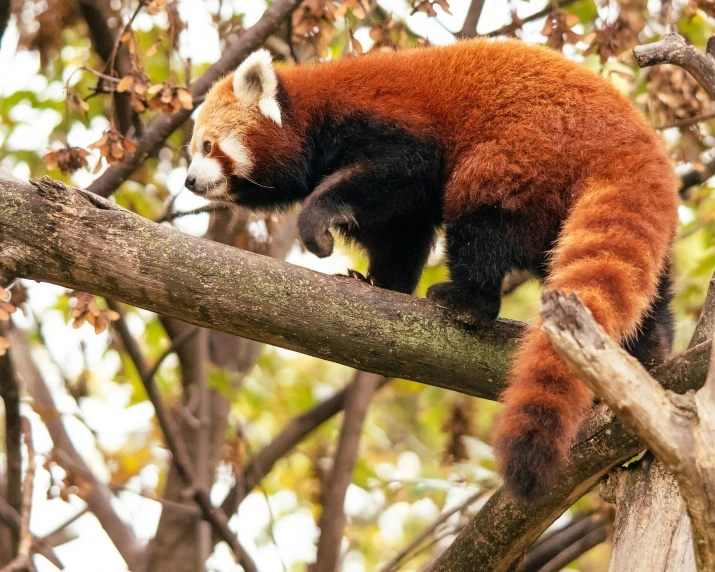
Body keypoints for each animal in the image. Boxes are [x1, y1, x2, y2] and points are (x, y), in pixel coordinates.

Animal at [185, 40, 676, 502]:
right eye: (192, 150)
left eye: (207, 146)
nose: (188, 181)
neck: (315, 114)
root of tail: (630, 138)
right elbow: (401, 230)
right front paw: (380, 282)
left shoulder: (390, 122)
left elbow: (401, 169)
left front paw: (318, 223)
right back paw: (650, 347)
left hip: (525, 152)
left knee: (481, 212)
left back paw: (468, 301)